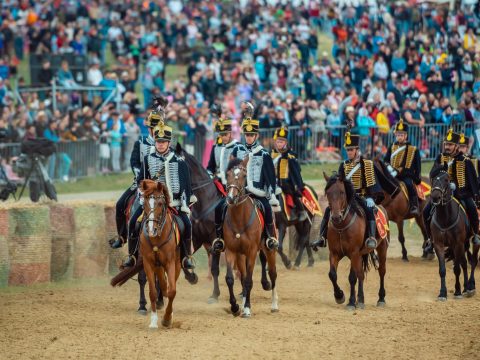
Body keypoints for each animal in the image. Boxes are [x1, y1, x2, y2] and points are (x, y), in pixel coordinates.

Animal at [109, 180, 181, 330]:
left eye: (160, 203)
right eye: (145, 204)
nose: (151, 229)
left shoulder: (170, 263)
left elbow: (171, 290)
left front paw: (167, 317)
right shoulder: (147, 261)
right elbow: (149, 287)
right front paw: (150, 316)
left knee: (168, 286)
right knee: (160, 283)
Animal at [224, 158, 280, 318]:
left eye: (244, 175)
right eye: (228, 174)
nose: (231, 198)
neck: (239, 219)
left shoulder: (252, 252)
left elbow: (249, 281)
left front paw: (247, 308)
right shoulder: (231, 251)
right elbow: (231, 279)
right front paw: (235, 307)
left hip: (269, 250)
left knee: (273, 274)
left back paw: (274, 305)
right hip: (240, 256)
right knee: (242, 277)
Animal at [322, 173, 390, 308]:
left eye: (342, 192)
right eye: (328, 193)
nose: (336, 217)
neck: (341, 227)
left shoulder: (354, 253)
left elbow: (352, 277)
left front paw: (351, 302)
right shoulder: (335, 253)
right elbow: (332, 274)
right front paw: (339, 296)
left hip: (382, 248)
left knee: (381, 271)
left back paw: (380, 299)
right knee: (361, 274)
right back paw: (361, 299)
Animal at [430, 167, 478, 300]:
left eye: (446, 179)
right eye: (432, 179)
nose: (435, 197)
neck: (445, 218)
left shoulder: (458, 244)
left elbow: (456, 269)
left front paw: (457, 291)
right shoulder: (439, 244)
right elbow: (442, 270)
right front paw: (442, 293)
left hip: (472, 242)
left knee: (473, 261)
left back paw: (471, 286)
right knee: (465, 263)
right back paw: (466, 287)